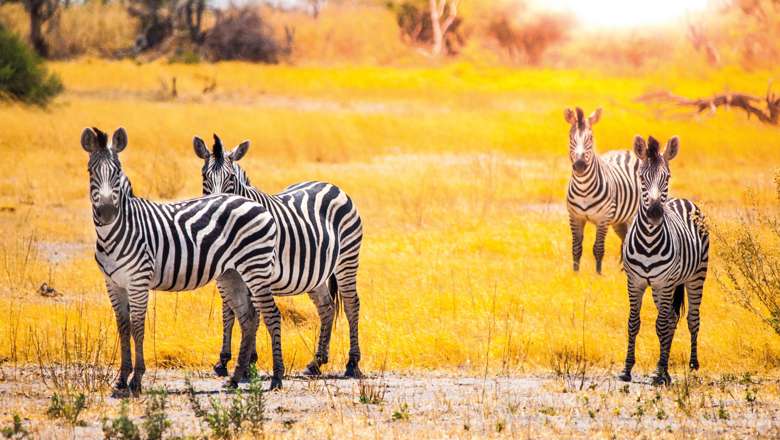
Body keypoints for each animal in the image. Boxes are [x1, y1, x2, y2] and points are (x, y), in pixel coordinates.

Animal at [79, 126, 278, 392]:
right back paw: (235, 378)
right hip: (232, 274)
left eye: (117, 172)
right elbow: (123, 328)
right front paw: (121, 379)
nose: (107, 212)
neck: (118, 230)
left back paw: (277, 377)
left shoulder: (138, 282)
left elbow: (137, 327)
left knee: (271, 314)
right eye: (91, 172)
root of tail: (254, 202)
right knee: (248, 319)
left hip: (255, 269)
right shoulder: (113, 284)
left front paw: (136, 379)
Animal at [195, 134, 366, 378]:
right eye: (204, 176)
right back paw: (316, 362)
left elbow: (252, 313)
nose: (217, 204)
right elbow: (229, 312)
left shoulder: (254, 269)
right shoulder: (228, 273)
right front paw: (224, 361)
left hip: (347, 259)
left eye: (231, 178)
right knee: (327, 308)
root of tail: (329, 184)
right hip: (315, 273)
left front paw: (249, 361)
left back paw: (352, 363)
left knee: (352, 304)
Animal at [564, 106, 644, 274]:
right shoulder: (575, 217)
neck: (584, 188)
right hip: (619, 220)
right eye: (570, 137)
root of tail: (624, 151)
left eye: (590, 138)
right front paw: (575, 274)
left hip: (632, 215)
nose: (580, 165)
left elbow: (598, 248)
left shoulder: (603, 219)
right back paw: (622, 269)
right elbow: (576, 248)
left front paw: (598, 275)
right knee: (624, 239)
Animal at [620, 135, 708, 384]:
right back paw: (665, 370)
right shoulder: (635, 282)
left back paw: (690, 364)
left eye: (666, 177)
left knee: (691, 319)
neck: (649, 240)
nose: (655, 214)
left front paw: (659, 373)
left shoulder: (665, 282)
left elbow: (660, 325)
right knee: (671, 319)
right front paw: (627, 369)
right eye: (641, 177)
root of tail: (682, 200)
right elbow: (634, 323)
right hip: (662, 289)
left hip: (695, 277)